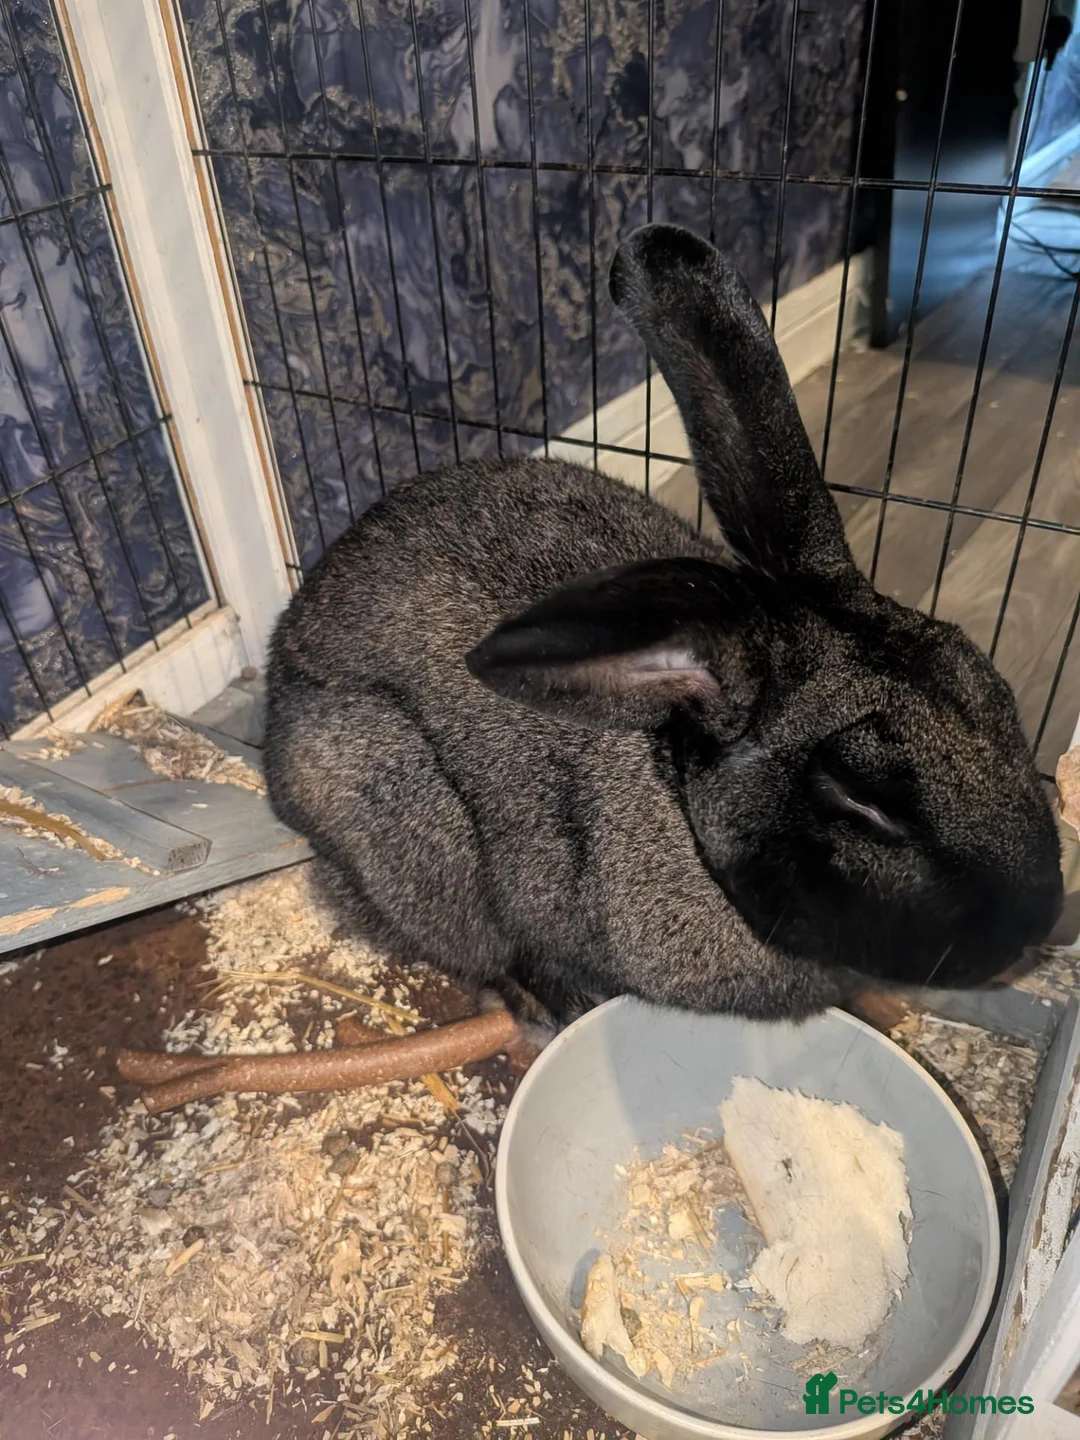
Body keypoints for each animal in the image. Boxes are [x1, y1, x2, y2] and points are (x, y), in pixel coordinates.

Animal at [263, 222, 1062, 1028]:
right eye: (859, 801)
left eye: (1003, 698)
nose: (1036, 924)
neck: (676, 801)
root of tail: (276, 683)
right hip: (389, 796)